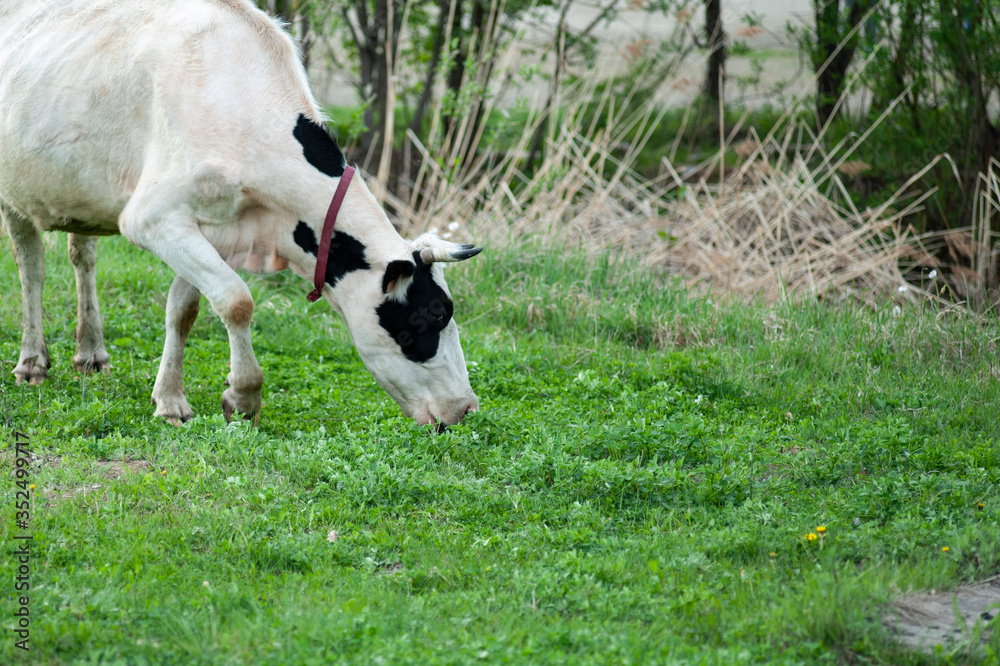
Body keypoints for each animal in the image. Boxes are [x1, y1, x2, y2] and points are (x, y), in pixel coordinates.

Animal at [0, 0, 481, 428]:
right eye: (434, 314)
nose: (466, 408)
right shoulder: (154, 218)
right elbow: (236, 300)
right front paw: (244, 396)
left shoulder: (214, 229)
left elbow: (184, 309)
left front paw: (170, 398)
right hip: (15, 192)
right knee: (32, 269)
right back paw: (32, 362)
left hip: (75, 188)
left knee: (82, 257)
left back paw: (90, 353)